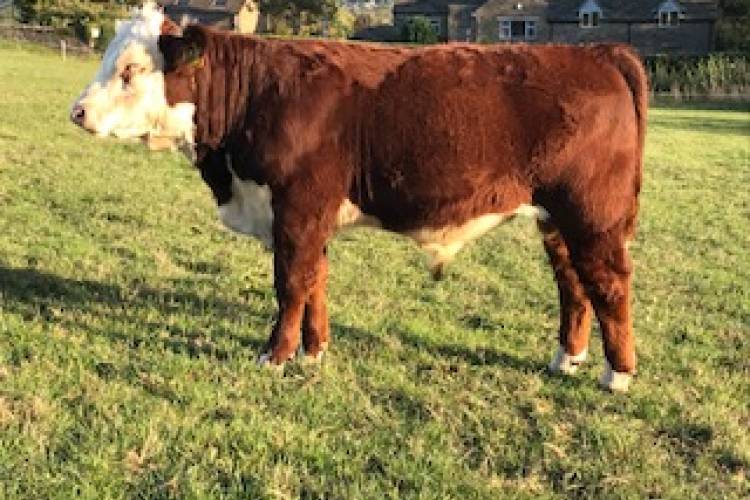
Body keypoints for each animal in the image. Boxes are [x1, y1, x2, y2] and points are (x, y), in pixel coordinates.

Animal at [71, 3, 647, 392]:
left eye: (130, 70)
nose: (78, 112)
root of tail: (596, 52)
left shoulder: (296, 209)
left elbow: (290, 283)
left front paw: (275, 356)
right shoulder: (311, 217)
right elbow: (314, 281)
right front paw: (313, 352)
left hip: (591, 214)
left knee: (609, 283)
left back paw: (616, 375)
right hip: (556, 219)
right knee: (573, 283)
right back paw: (566, 358)